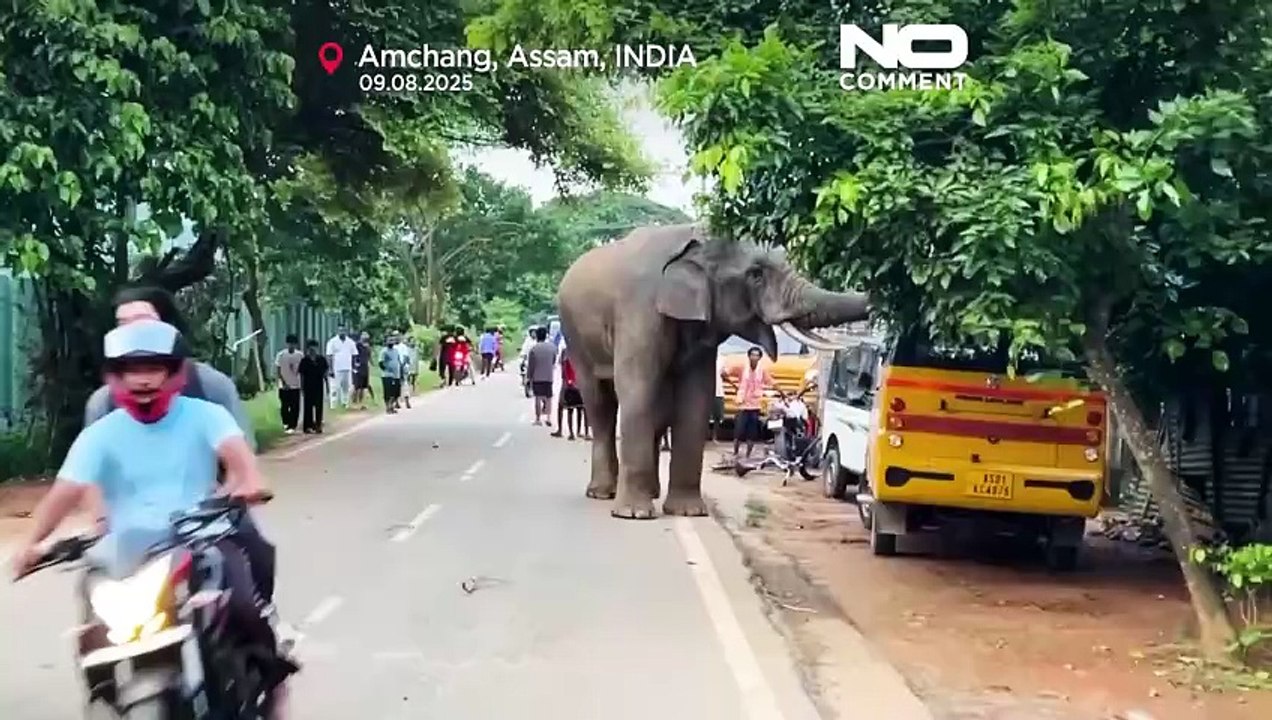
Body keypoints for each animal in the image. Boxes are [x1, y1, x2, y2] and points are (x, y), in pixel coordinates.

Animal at [556, 223, 871, 520]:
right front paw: (634, 515)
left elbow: (696, 397)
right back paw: (602, 493)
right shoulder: (639, 312)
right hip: (575, 336)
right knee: (600, 406)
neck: (696, 238)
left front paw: (688, 512)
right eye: (756, 274)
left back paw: (650, 492)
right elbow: (637, 390)